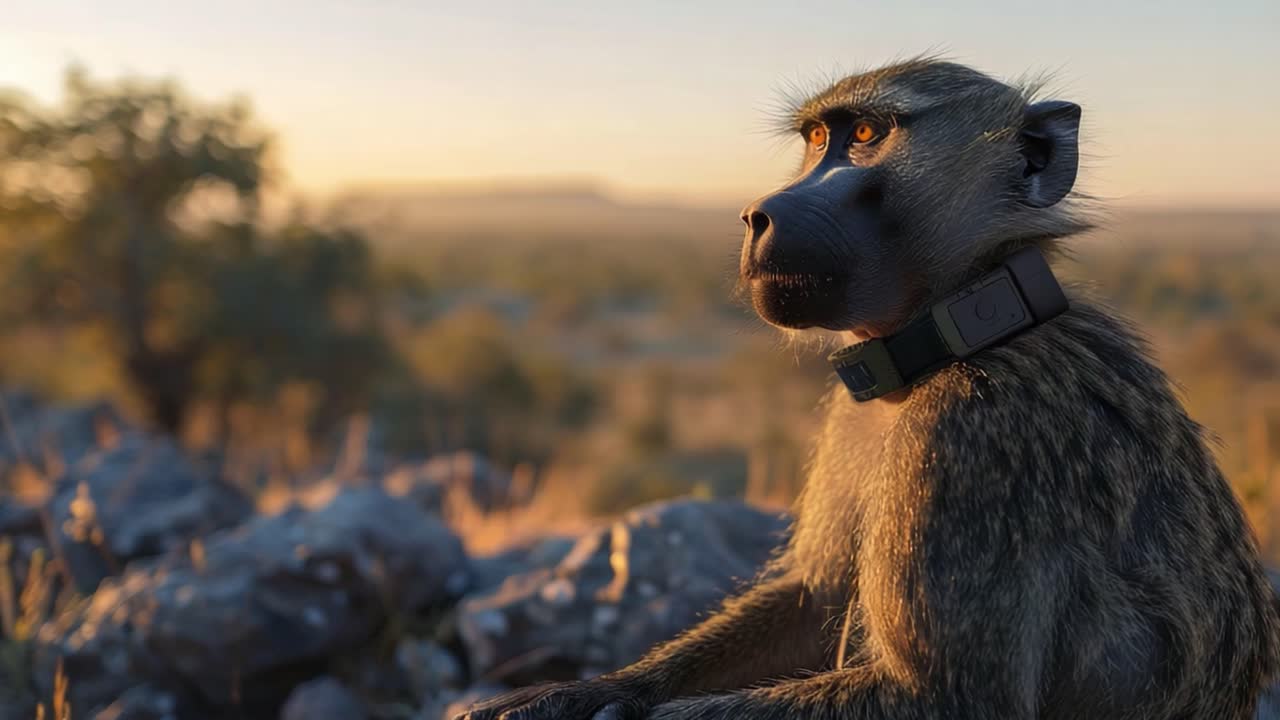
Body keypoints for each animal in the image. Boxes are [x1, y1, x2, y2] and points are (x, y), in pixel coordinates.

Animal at [456, 58, 1280, 720]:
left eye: (866, 134)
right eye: (816, 139)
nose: (758, 214)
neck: (962, 322)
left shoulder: (973, 434)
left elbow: (944, 697)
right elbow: (815, 595)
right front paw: (582, 692)